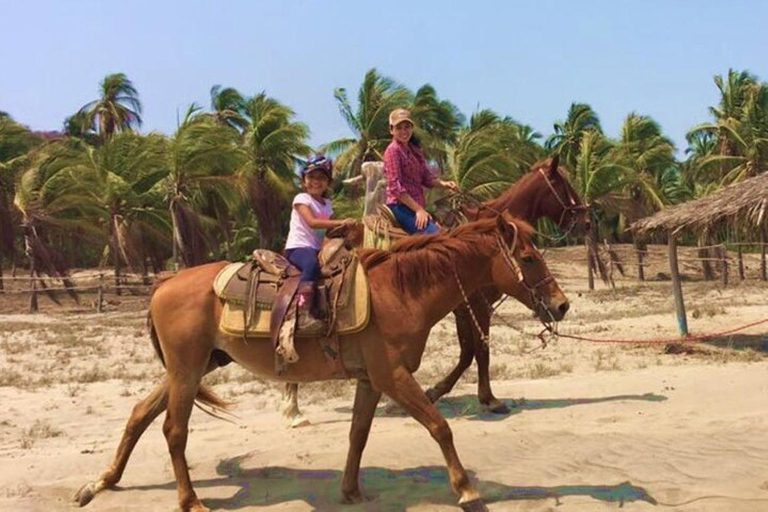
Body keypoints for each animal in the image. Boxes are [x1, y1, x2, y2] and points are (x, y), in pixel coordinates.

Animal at [75, 214, 568, 512]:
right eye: (528, 257)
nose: (561, 306)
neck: (399, 290)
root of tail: (164, 284)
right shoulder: (394, 376)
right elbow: (439, 426)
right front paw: (466, 490)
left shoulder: (372, 379)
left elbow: (358, 435)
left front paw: (350, 490)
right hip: (187, 370)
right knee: (174, 430)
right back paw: (189, 500)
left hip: (194, 368)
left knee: (140, 415)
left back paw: (101, 482)